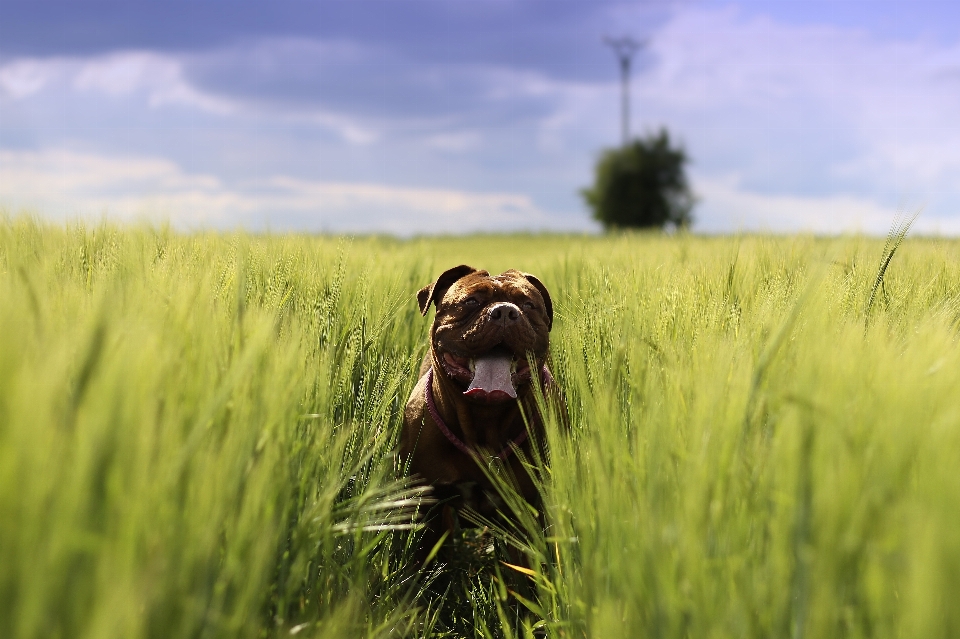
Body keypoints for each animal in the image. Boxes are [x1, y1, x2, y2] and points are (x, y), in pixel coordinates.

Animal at [398, 264, 560, 564]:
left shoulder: (524, 513)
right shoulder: (429, 506)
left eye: (527, 304)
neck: (484, 421)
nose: (505, 312)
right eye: (471, 301)